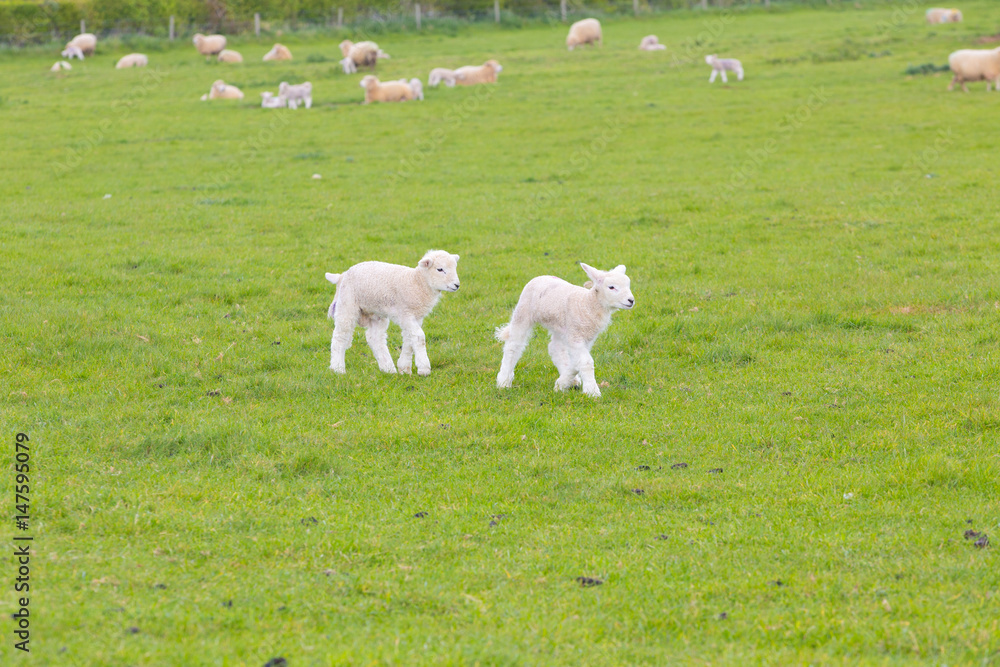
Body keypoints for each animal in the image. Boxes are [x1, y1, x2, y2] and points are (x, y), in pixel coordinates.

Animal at [325, 250, 461, 375]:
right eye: (440, 269)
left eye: (454, 268)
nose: (457, 285)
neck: (417, 283)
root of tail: (342, 275)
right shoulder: (406, 314)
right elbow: (419, 337)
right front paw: (424, 368)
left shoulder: (415, 317)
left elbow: (409, 339)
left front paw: (404, 367)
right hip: (347, 304)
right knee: (340, 336)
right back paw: (338, 369)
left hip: (376, 314)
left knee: (375, 338)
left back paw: (388, 368)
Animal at [496, 263, 634, 398]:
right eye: (611, 287)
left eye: (628, 285)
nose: (631, 300)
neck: (588, 303)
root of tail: (542, 276)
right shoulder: (575, 335)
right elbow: (586, 362)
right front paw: (593, 391)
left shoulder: (586, 337)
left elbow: (576, 362)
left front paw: (561, 384)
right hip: (523, 311)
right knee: (513, 346)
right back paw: (503, 381)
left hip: (559, 325)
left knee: (555, 348)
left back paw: (571, 381)